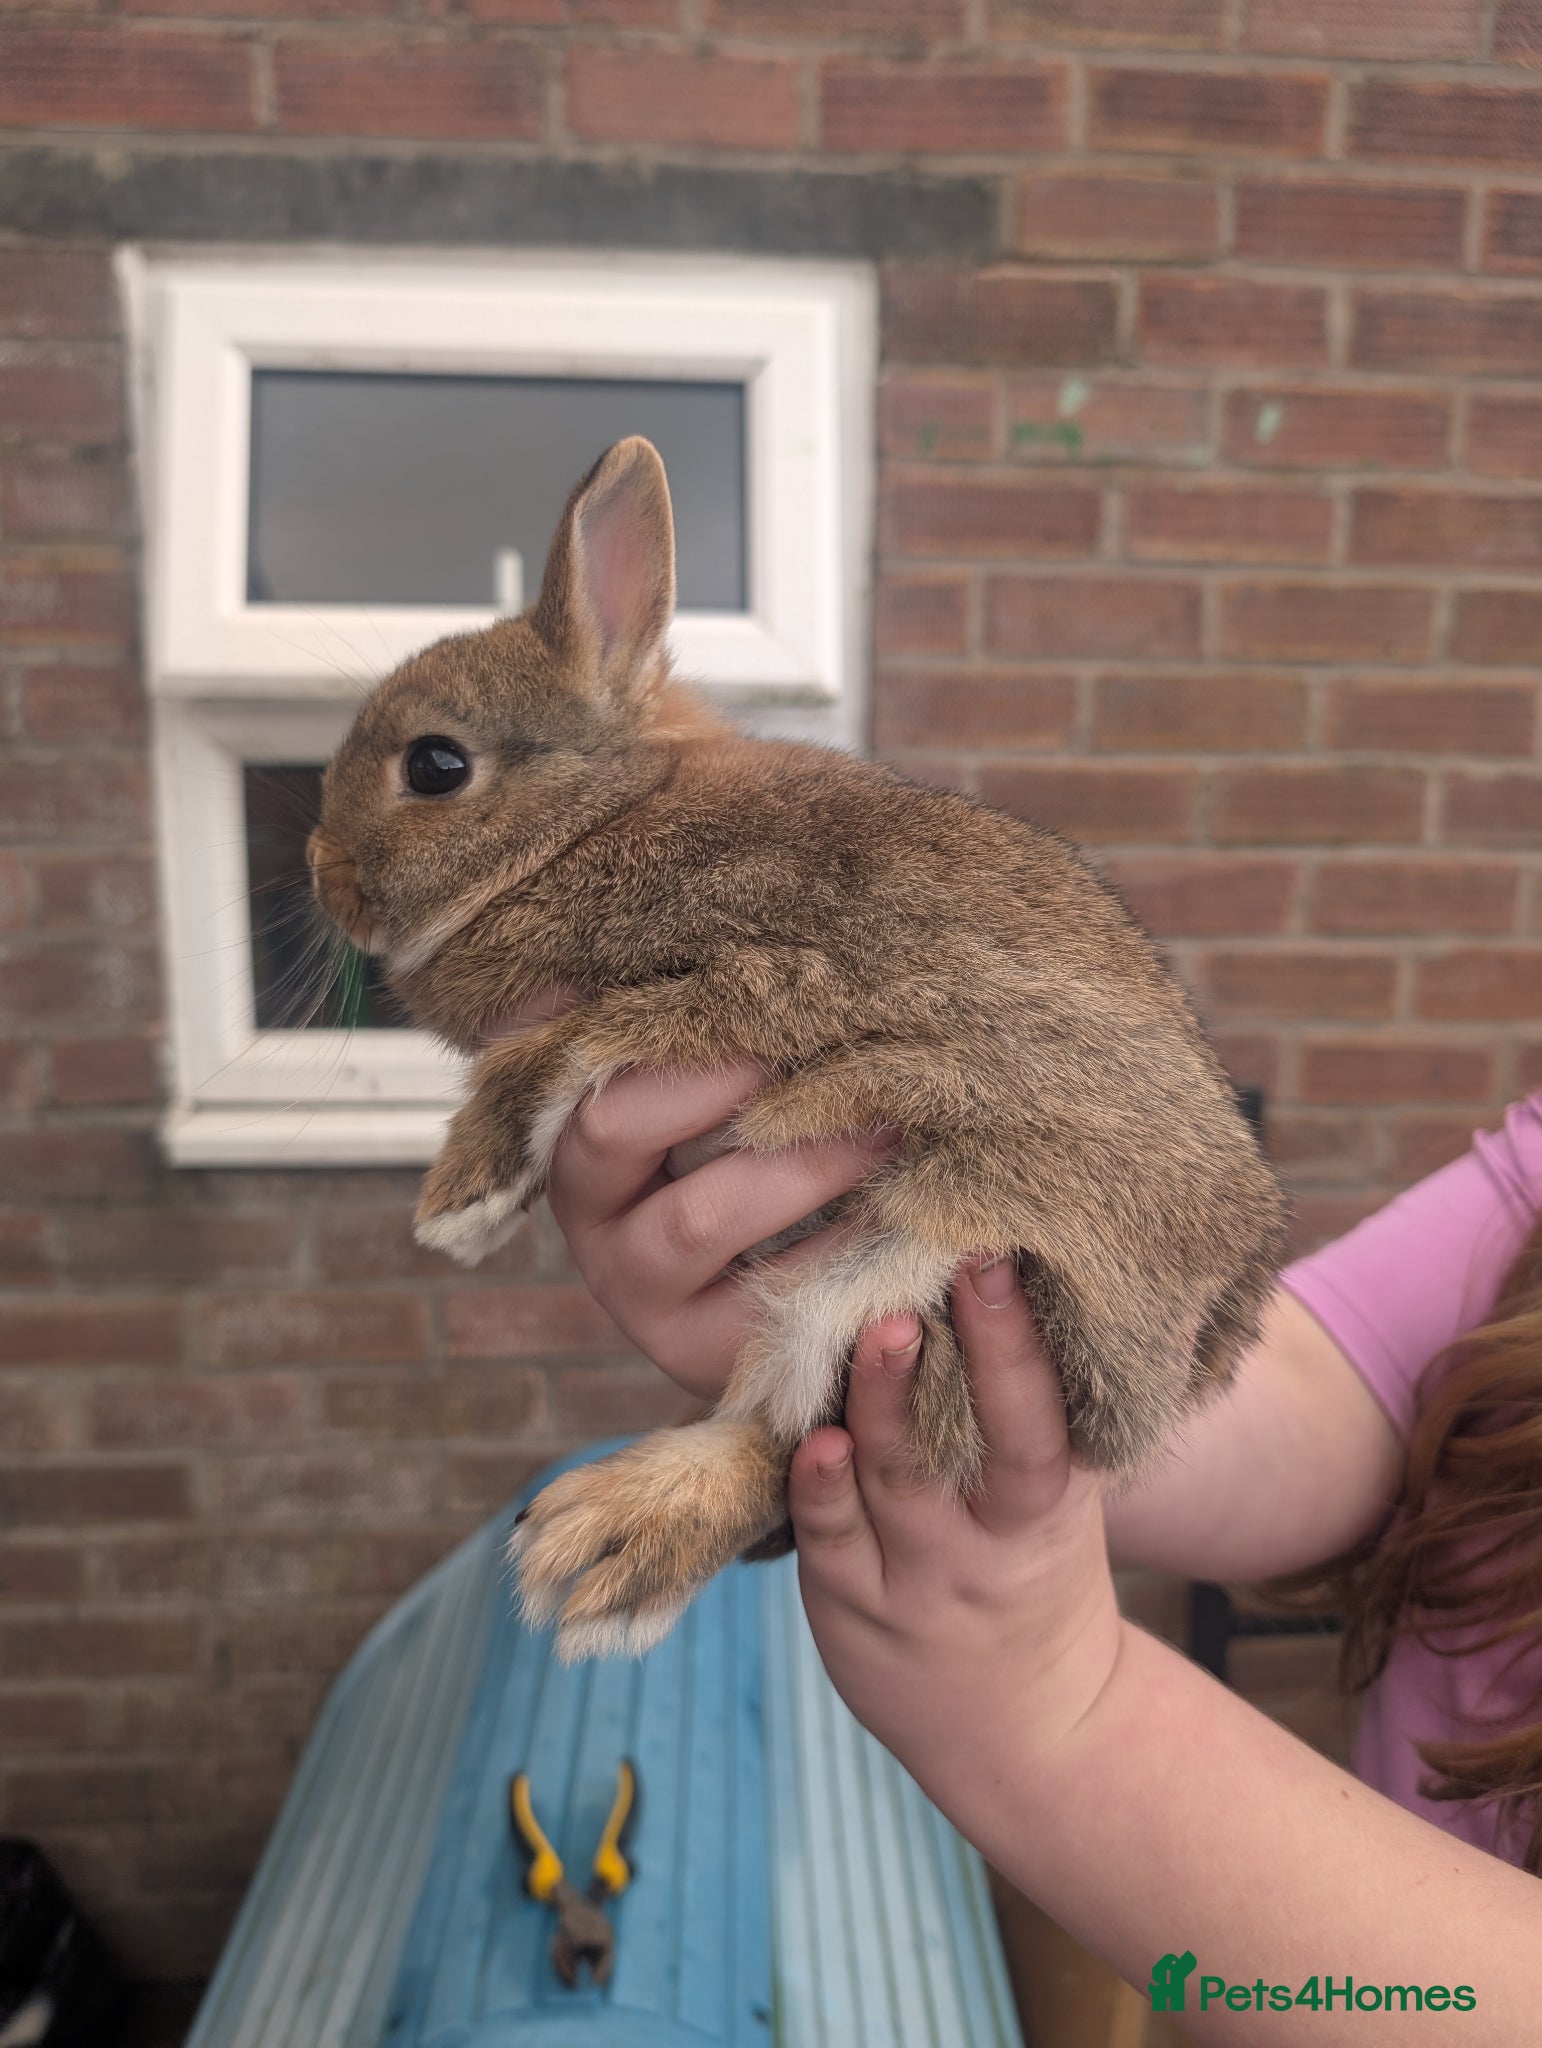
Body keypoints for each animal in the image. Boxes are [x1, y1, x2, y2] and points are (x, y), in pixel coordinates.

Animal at [308, 434, 1288, 1663]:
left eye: (435, 765)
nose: (320, 872)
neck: (590, 823)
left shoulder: (759, 984)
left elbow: (547, 1054)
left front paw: (460, 1206)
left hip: (929, 1248)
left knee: (785, 1430)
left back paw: (608, 1534)